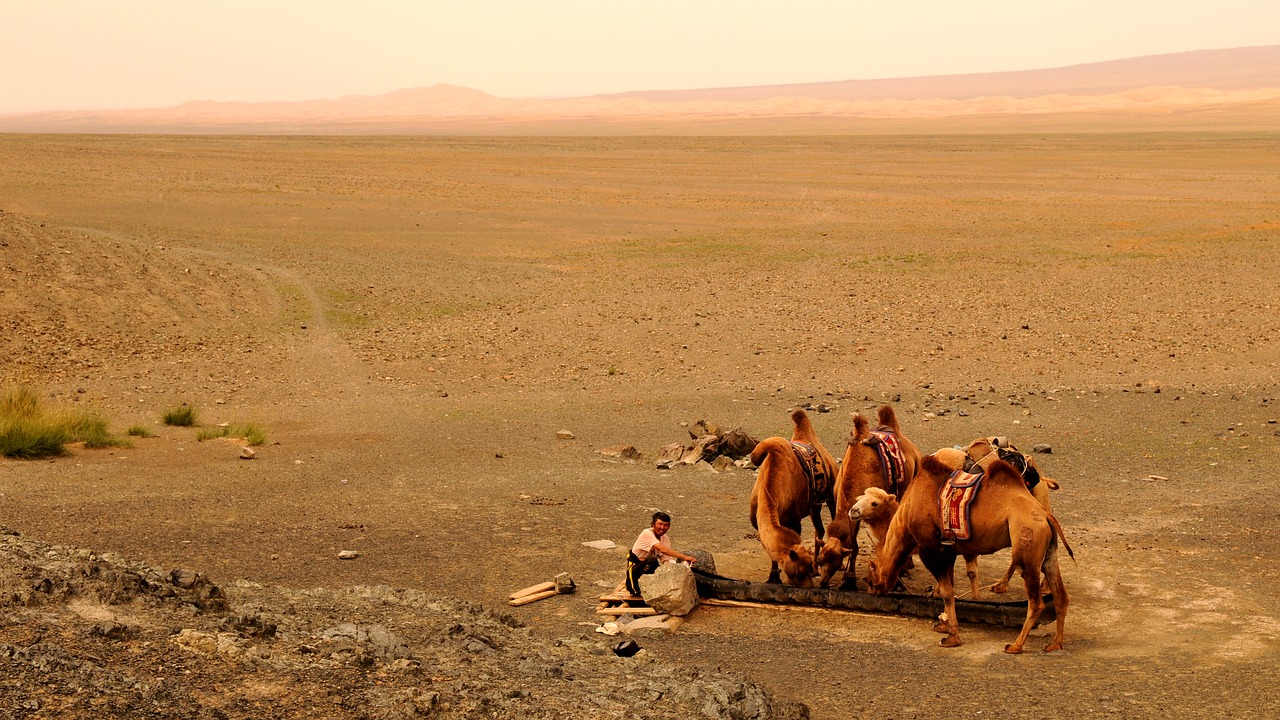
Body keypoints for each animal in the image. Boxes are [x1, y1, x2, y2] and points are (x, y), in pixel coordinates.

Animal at [747, 407, 839, 586]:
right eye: (799, 571)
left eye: (805, 569)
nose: (809, 587)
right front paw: (773, 577)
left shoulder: (794, 521)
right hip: (814, 506)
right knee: (819, 529)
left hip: (832, 494)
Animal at [819, 404, 921, 589]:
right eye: (820, 560)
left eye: (836, 560)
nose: (823, 582)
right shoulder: (853, 512)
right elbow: (854, 545)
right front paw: (848, 579)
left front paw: (850, 579)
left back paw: (907, 566)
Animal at [860, 453, 1070, 650]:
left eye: (871, 567)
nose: (870, 585)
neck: (906, 515)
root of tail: (1046, 515)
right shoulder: (948, 550)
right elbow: (949, 589)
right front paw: (943, 625)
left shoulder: (931, 550)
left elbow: (946, 592)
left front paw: (951, 637)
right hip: (1048, 553)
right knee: (1060, 596)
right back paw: (1055, 644)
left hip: (1027, 544)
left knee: (1036, 602)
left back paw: (1015, 645)